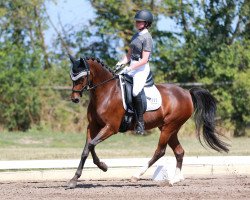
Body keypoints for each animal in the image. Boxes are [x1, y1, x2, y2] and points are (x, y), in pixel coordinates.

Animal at [67, 55, 229, 189]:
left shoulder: (110, 127)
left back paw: (136, 175)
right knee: (179, 151)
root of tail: (187, 93)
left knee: (160, 151)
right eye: (72, 77)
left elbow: (91, 145)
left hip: (169, 127)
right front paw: (76, 178)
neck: (106, 92)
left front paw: (102, 166)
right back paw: (174, 180)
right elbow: (87, 148)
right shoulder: (93, 126)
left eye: (81, 78)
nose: (74, 98)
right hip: (169, 128)